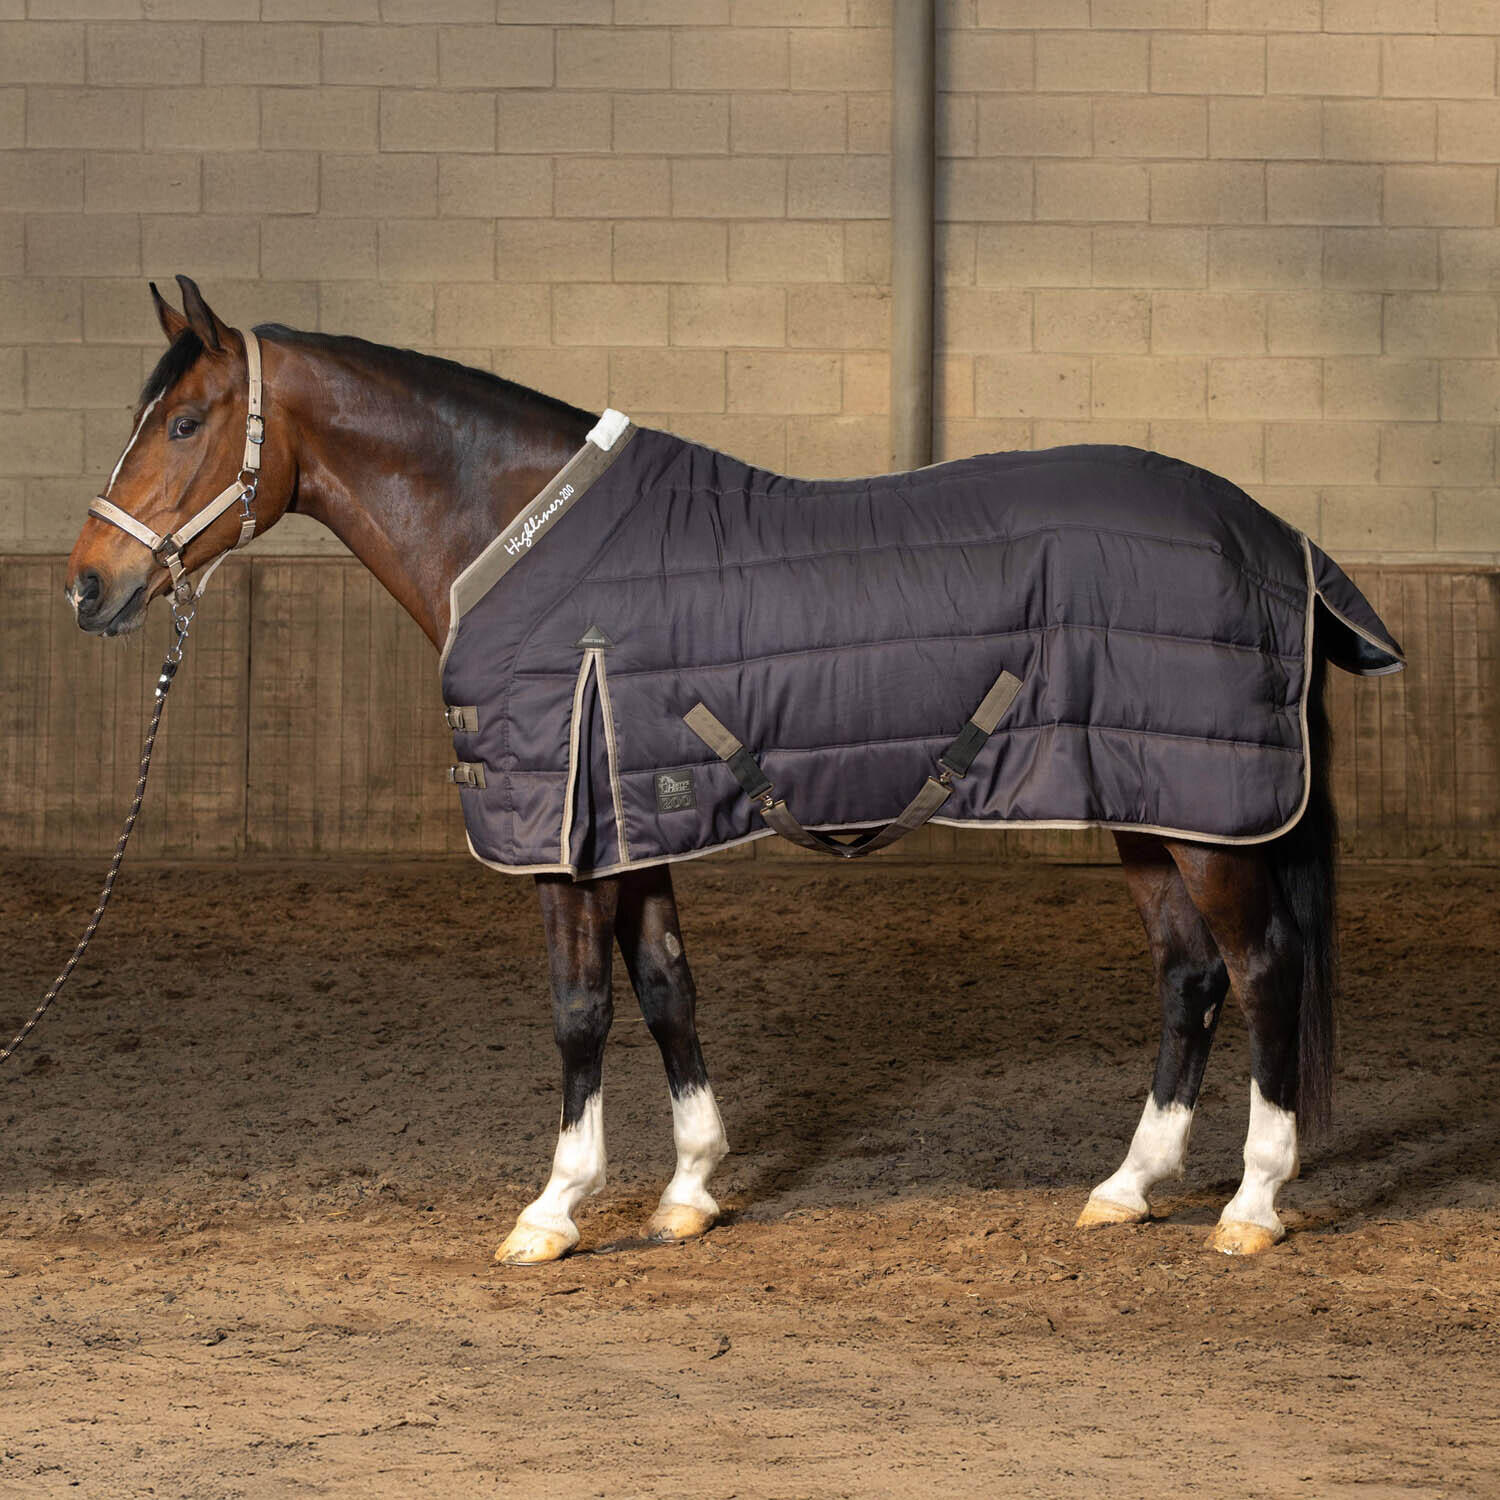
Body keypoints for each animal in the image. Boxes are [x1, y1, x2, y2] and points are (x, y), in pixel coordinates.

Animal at [64, 276, 1402, 1263]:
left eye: (184, 425)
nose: (87, 584)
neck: (514, 534)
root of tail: (1275, 536)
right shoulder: (631, 815)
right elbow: (667, 989)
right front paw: (691, 1191)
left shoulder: (565, 837)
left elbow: (580, 1009)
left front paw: (554, 1210)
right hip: (1150, 803)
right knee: (1189, 976)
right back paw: (1128, 1185)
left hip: (1211, 820)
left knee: (1261, 971)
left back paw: (1252, 1206)